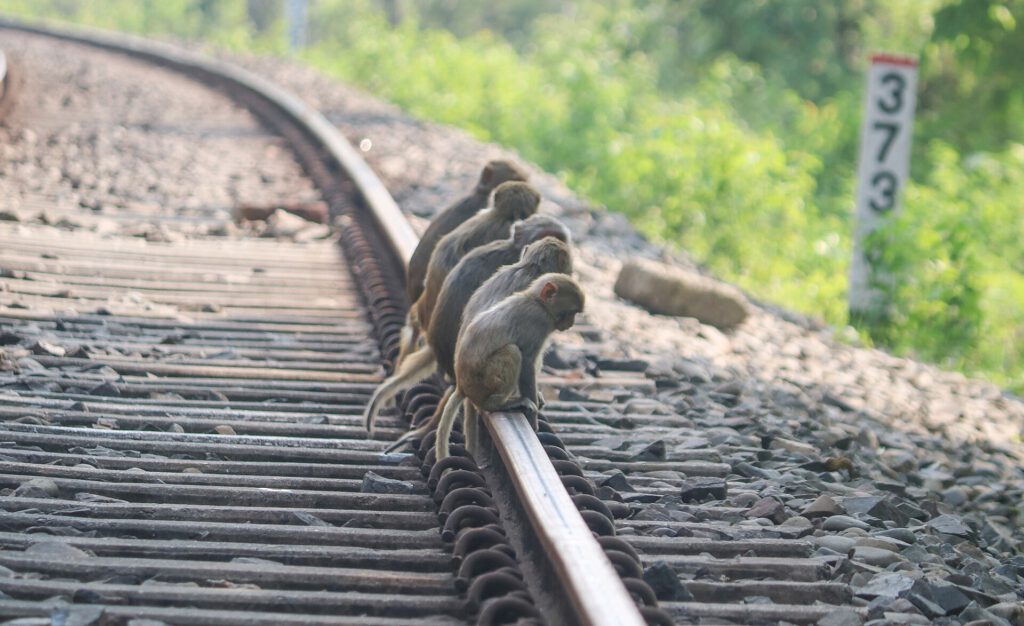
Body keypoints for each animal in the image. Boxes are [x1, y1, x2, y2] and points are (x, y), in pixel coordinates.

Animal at [434, 274, 585, 460]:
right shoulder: (538, 322)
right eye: (570, 313)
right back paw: (496, 404)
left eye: (575, 314)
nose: (571, 324)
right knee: (513, 351)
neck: (537, 301)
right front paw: (533, 420)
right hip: (482, 382)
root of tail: (462, 386)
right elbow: (527, 362)